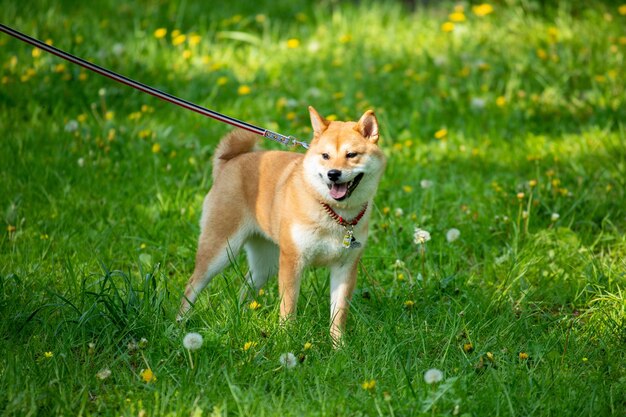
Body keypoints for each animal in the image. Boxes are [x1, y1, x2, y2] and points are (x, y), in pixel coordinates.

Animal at [178, 106, 386, 342]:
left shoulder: (345, 267)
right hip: (220, 252)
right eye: (325, 156)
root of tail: (231, 162)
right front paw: (286, 339)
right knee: (192, 286)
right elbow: (288, 307)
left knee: (245, 287)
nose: (333, 174)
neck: (333, 213)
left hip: (266, 264)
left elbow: (338, 315)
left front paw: (339, 346)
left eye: (351, 155)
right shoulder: (292, 261)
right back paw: (179, 324)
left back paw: (241, 315)